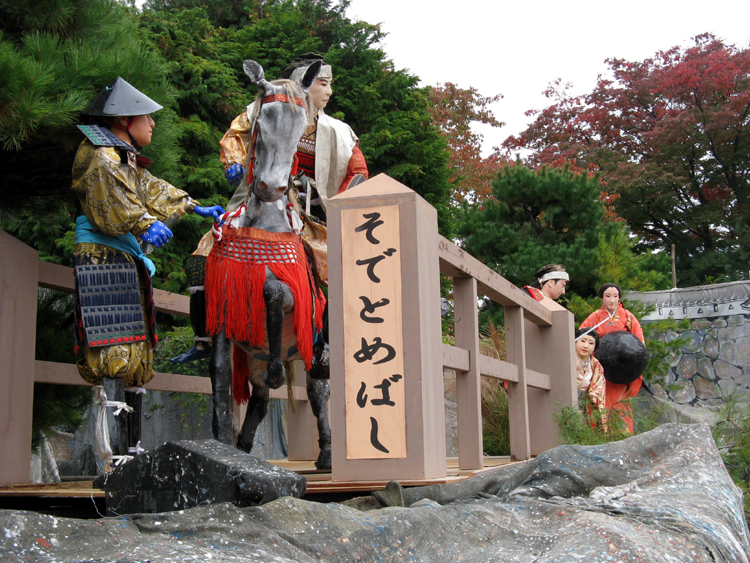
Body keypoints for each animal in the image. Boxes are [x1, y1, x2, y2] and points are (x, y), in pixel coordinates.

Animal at [207, 59, 334, 472]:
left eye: (299, 129)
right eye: (260, 122)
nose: (269, 188)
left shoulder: (297, 297)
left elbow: (276, 292)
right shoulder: (221, 308)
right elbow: (219, 377)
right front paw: (220, 442)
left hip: (310, 347)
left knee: (318, 390)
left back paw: (327, 453)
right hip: (255, 357)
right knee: (260, 398)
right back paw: (243, 445)